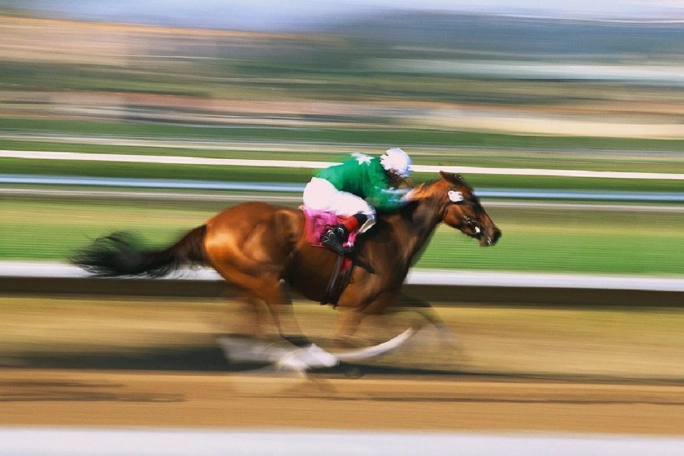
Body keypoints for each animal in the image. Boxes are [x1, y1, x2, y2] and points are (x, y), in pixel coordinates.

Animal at [71, 171, 501, 368]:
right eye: (472, 200)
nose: (495, 233)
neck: (396, 233)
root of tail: (211, 224)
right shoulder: (361, 304)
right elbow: (354, 338)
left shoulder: (387, 296)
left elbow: (428, 311)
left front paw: (451, 352)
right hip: (267, 281)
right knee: (283, 329)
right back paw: (305, 359)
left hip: (245, 283)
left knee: (242, 325)